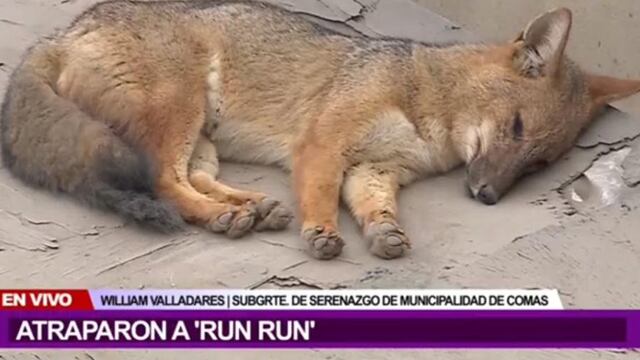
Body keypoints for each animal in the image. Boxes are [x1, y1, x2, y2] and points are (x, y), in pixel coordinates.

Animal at [1, 0, 640, 258]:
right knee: (161, 181)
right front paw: (321, 231)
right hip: (180, 114)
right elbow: (320, 194)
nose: (486, 196)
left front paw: (383, 232)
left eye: (537, 162)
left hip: (201, 138)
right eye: (514, 127)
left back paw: (250, 207)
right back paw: (227, 217)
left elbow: (376, 206)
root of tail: (61, 32)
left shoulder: (377, 169)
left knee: (189, 179)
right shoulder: (325, 144)